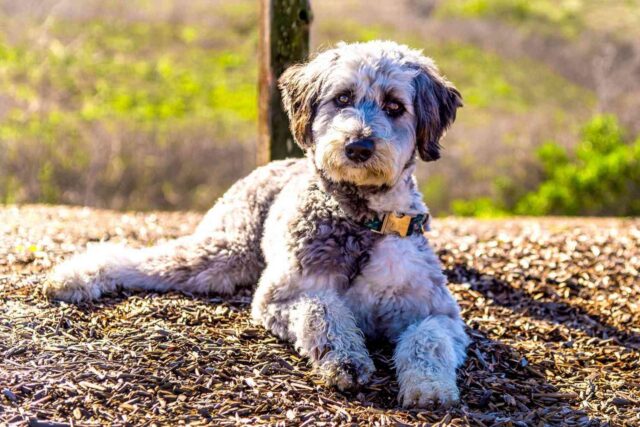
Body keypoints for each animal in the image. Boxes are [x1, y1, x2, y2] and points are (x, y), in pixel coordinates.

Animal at [43, 41, 464, 412]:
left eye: (394, 106)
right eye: (343, 98)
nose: (358, 147)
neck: (361, 219)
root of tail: (272, 164)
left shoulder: (439, 312)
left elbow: (428, 339)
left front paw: (429, 387)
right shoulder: (278, 297)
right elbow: (321, 309)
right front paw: (345, 359)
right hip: (223, 253)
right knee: (131, 257)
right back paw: (73, 276)